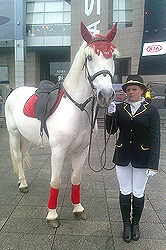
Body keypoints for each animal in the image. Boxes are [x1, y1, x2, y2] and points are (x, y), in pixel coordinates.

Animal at [4, 22, 119, 228]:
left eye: (113, 57)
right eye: (89, 57)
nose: (106, 95)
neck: (76, 109)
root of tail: (13, 92)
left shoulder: (81, 150)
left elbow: (75, 178)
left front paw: (78, 208)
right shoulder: (58, 151)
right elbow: (56, 181)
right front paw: (52, 215)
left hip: (27, 137)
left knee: (22, 155)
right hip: (14, 133)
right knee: (17, 156)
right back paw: (23, 184)